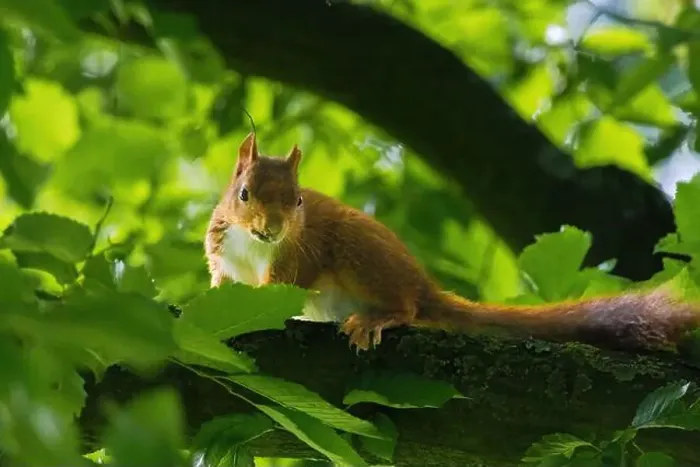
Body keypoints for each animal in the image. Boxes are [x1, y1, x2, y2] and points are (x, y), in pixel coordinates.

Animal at [205, 133, 700, 352]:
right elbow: (220, 287)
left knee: (407, 309)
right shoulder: (222, 258)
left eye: (299, 201)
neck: (252, 246)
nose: (272, 229)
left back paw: (379, 318)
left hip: (360, 254)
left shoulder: (297, 256)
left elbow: (279, 286)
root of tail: (424, 286)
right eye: (244, 193)